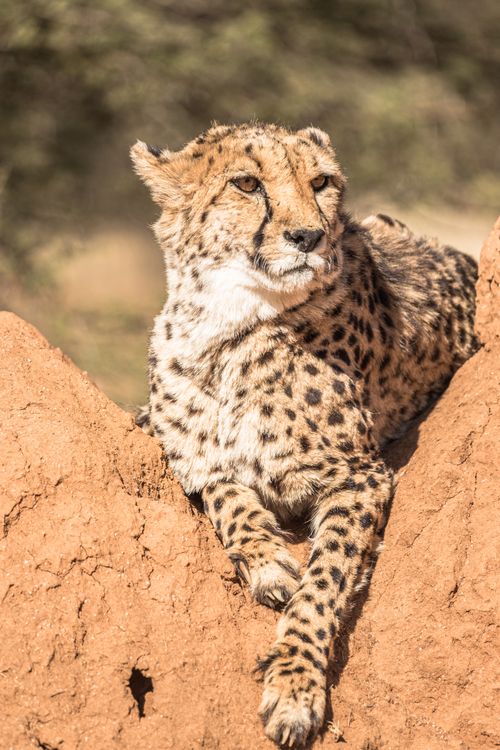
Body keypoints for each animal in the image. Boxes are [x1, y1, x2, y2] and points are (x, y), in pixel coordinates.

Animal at [130, 122, 478, 747]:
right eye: (246, 184)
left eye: (321, 183)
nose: (308, 236)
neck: (226, 323)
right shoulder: (192, 455)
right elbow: (223, 489)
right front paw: (266, 559)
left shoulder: (362, 475)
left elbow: (323, 581)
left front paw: (295, 687)